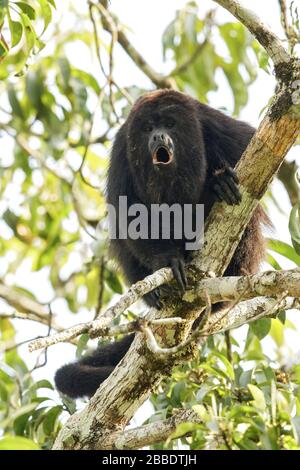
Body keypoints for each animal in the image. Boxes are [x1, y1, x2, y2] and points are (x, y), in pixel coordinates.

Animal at [55, 90, 266, 398]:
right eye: (148, 128)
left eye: (169, 124)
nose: (158, 136)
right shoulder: (122, 148)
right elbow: (127, 213)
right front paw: (166, 261)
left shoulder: (211, 122)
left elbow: (255, 151)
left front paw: (220, 182)